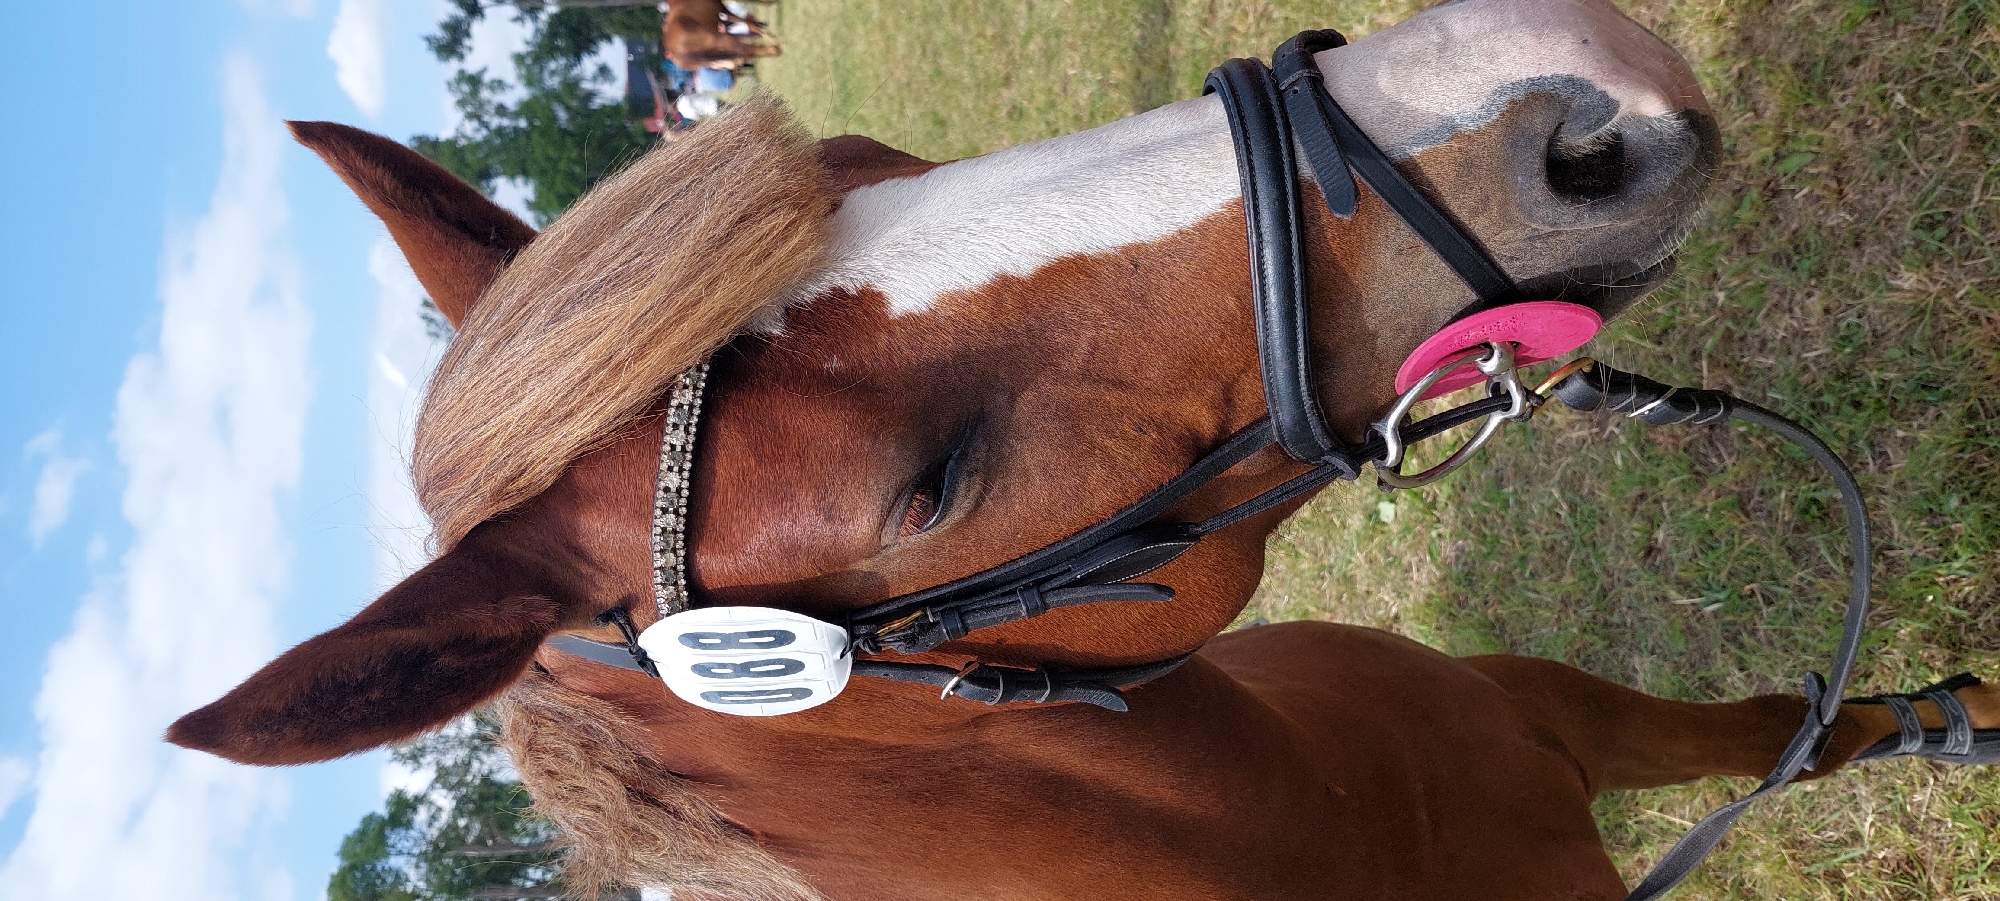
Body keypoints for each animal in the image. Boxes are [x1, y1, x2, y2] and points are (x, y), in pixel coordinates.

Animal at [168, 1, 2000, 898]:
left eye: (866, 160)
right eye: (928, 486)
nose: (1567, 81)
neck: (1328, 823)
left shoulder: (1552, 709)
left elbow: (1783, 731)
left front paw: (1939, 719)